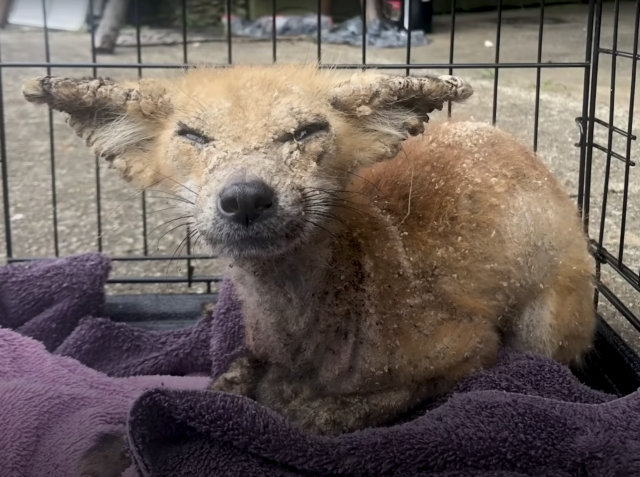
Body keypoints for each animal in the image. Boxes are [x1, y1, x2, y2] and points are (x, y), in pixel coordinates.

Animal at [23, 64, 596, 476]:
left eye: (306, 131)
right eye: (193, 136)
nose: (246, 196)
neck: (311, 335)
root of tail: (508, 139)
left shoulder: (467, 351)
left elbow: (305, 419)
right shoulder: (258, 346)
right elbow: (223, 382)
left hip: (540, 331)